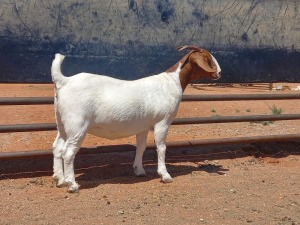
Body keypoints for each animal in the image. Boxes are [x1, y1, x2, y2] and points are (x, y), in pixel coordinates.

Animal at [51, 45, 220, 192]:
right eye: (207, 59)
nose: (219, 73)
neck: (172, 82)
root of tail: (64, 81)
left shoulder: (142, 127)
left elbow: (141, 147)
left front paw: (139, 170)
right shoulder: (163, 122)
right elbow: (161, 147)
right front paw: (165, 175)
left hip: (62, 123)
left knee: (58, 147)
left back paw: (60, 179)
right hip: (77, 125)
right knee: (68, 152)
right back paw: (72, 184)